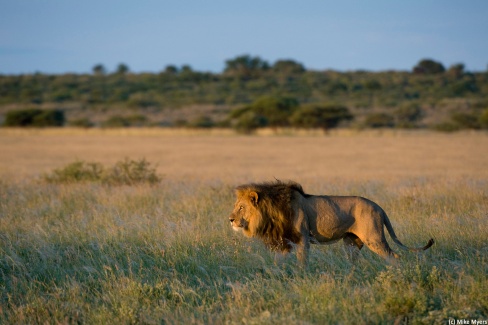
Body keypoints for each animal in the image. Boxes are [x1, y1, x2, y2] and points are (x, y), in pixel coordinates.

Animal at [229, 180, 434, 264]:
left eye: (241, 208)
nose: (230, 220)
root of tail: (379, 207)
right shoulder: (282, 242)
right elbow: (277, 263)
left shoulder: (302, 239)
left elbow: (302, 262)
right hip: (351, 242)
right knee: (353, 261)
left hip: (374, 238)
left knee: (394, 257)